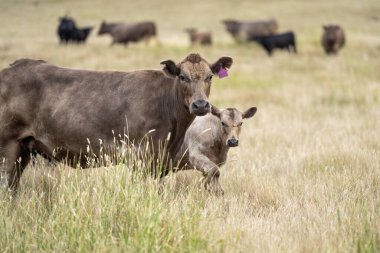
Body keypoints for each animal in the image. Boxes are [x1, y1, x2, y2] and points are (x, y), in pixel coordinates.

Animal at [0, 53, 233, 192]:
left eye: (210, 76)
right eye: (182, 77)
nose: (200, 104)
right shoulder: (139, 156)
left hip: (24, 149)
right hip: (8, 145)